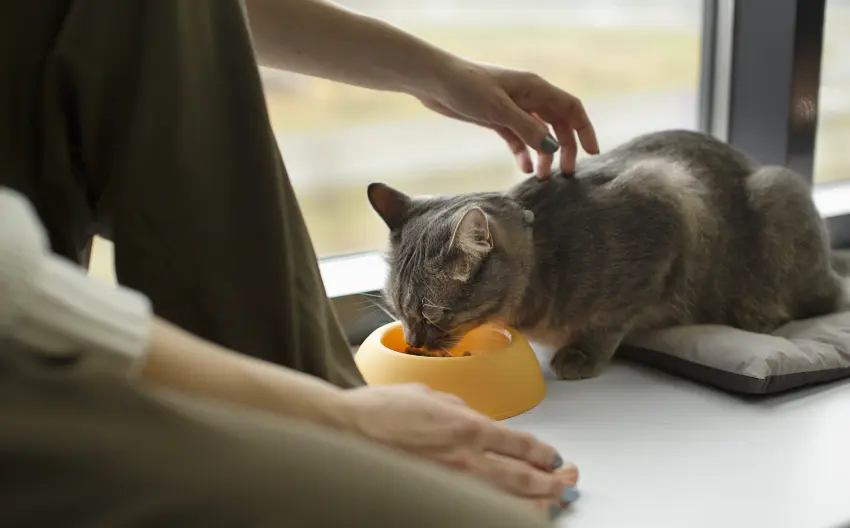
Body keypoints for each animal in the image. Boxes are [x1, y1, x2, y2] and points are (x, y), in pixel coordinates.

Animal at [366, 130, 848, 382]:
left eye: (433, 313)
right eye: (398, 311)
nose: (413, 342)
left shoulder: (666, 206)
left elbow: (610, 319)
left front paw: (580, 354)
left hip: (777, 193)